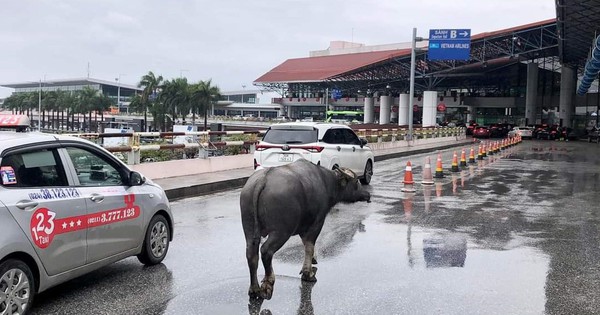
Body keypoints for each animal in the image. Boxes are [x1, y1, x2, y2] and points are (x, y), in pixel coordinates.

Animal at [239, 159, 370, 300]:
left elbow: (306, 245)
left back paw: (254, 289)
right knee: (266, 251)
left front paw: (312, 261)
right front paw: (308, 274)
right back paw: (267, 284)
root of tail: (263, 179)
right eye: (356, 182)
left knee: (251, 254)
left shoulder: (304, 228)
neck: (326, 182)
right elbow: (309, 246)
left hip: (249, 228)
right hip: (281, 232)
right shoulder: (317, 223)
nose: (367, 195)